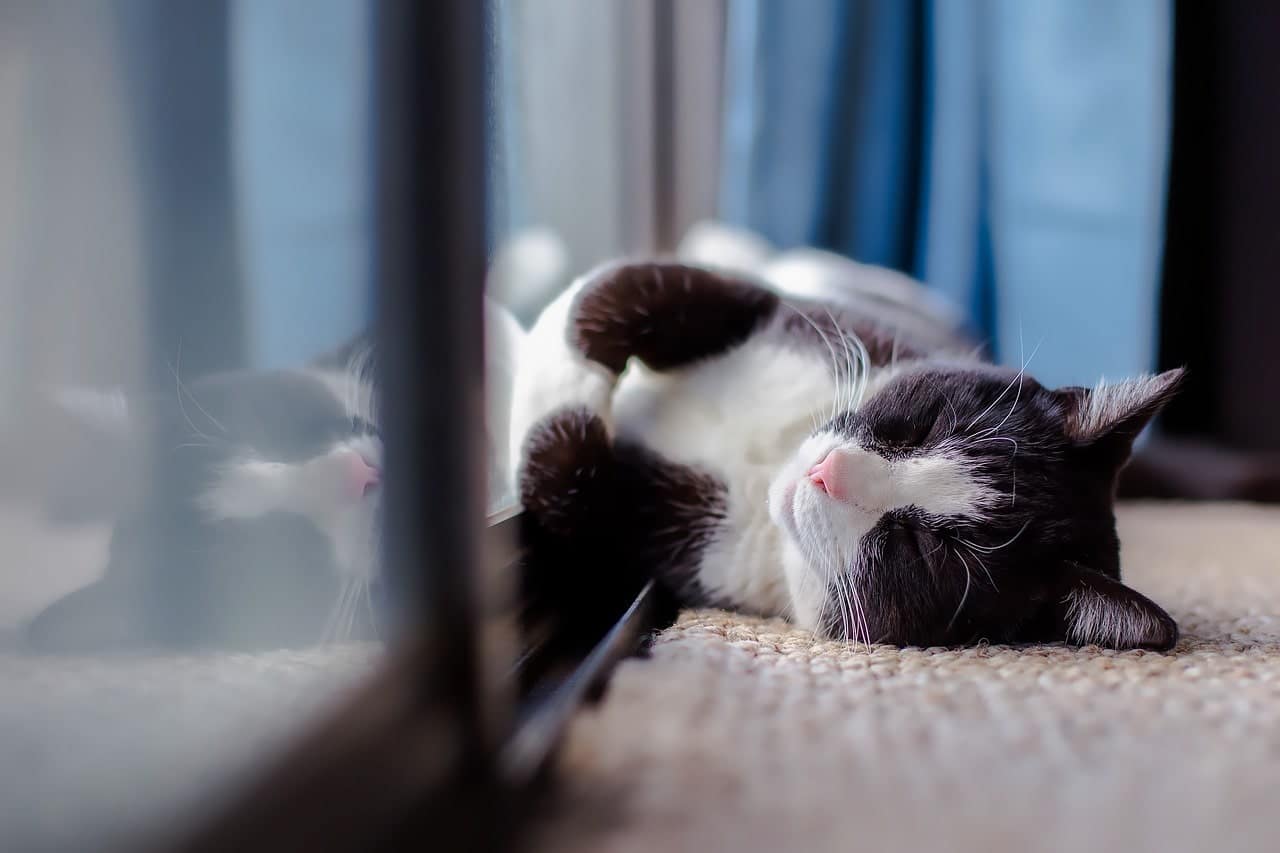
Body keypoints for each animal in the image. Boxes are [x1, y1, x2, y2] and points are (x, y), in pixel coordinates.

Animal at [506, 261, 1177, 650]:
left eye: (925, 548)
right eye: (927, 426)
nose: (826, 473)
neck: (769, 460)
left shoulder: (673, 551)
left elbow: (565, 485)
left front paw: (540, 375)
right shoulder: (802, 317)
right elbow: (624, 289)